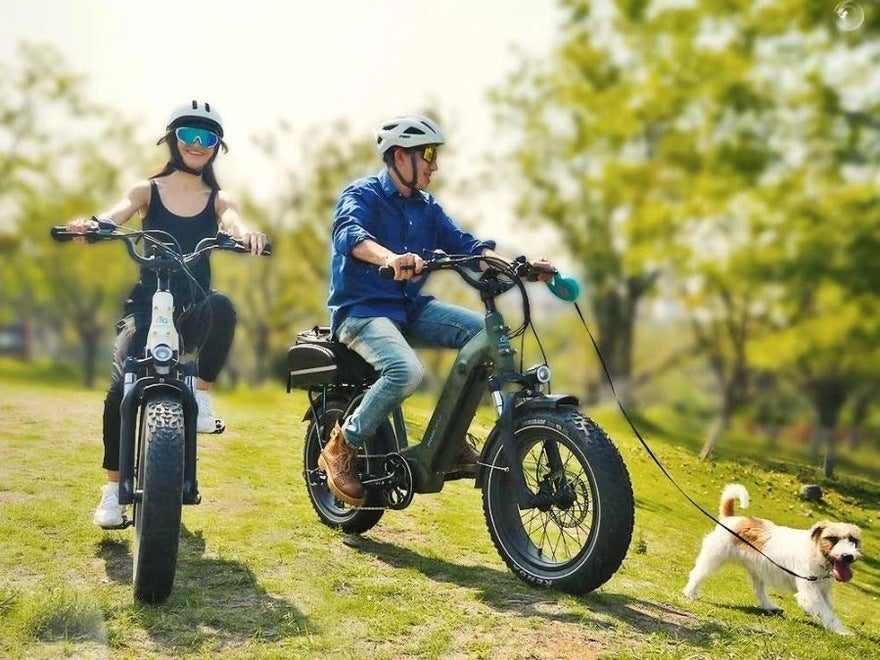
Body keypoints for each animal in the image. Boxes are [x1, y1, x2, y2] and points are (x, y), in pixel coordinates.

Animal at [684, 484, 864, 636]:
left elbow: (828, 607)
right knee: (697, 574)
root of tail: (731, 519)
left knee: (759, 591)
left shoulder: (823, 590)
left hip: (757, 570)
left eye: (853, 540)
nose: (848, 556)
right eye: (832, 539)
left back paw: (770, 607)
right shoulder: (810, 593)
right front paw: (842, 631)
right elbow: (828, 613)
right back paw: (690, 593)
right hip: (713, 558)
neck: (816, 553)